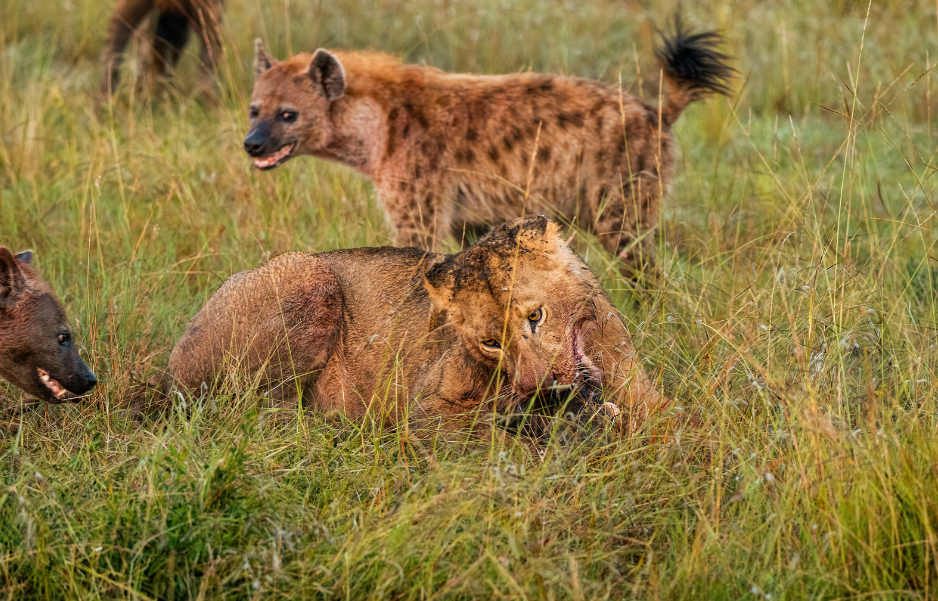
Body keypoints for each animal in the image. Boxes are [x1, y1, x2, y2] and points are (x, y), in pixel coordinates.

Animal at [153, 216, 667, 435]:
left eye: (535, 316)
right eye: (490, 343)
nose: (538, 387)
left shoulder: (651, 399)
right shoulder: (429, 408)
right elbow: (492, 427)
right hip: (309, 275)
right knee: (245, 409)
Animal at [243, 19, 733, 271]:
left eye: (288, 114)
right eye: (254, 109)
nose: (252, 144)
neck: (376, 131)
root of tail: (655, 110)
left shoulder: (419, 206)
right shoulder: (470, 219)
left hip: (619, 202)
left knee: (646, 266)